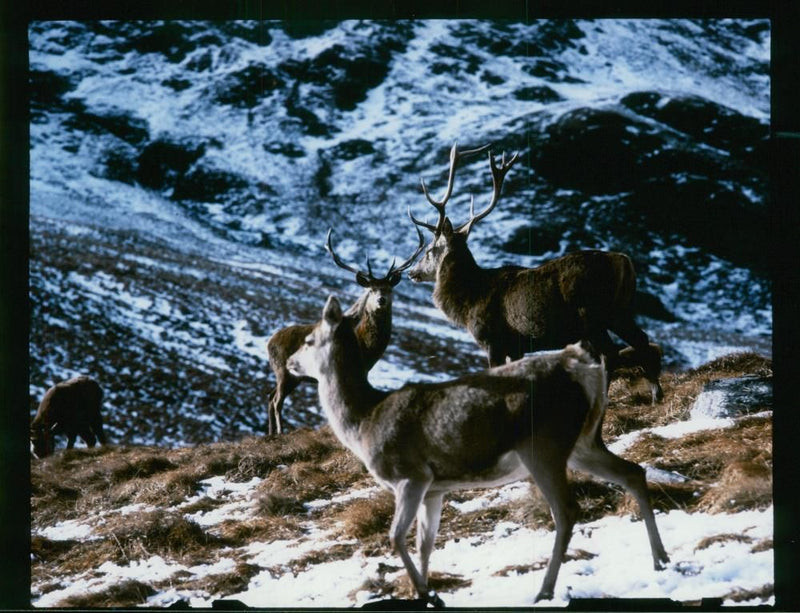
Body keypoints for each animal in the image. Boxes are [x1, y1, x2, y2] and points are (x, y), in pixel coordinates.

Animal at [264, 226, 424, 436]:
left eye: (389, 289)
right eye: (371, 290)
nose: (381, 300)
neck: (367, 348)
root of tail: (268, 343)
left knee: (269, 396)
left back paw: (270, 434)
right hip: (284, 371)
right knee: (276, 401)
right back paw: (281, 432)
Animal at [286, 294, 668, 604]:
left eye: (308, 339)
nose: (289, 362)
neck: (364, 421)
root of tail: (582, 365)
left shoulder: (410, 475)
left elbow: (395, 537)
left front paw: (425, 593)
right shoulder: (434, 488)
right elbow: (425, 543)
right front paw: (428, 593)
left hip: (543, 444)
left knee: (567, 510)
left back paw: (544, 590)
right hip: (583, 441)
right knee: (633, 472)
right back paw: (660, 559)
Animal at [410, 141, 664, 404]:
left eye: (429, 250)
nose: (412, 272)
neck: (469, 300)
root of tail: (625, 262)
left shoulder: (493, 340)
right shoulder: (517, 345)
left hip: (593, 313)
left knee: (611, 353)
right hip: (620, 310)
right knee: (641, 339)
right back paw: (656, 393)